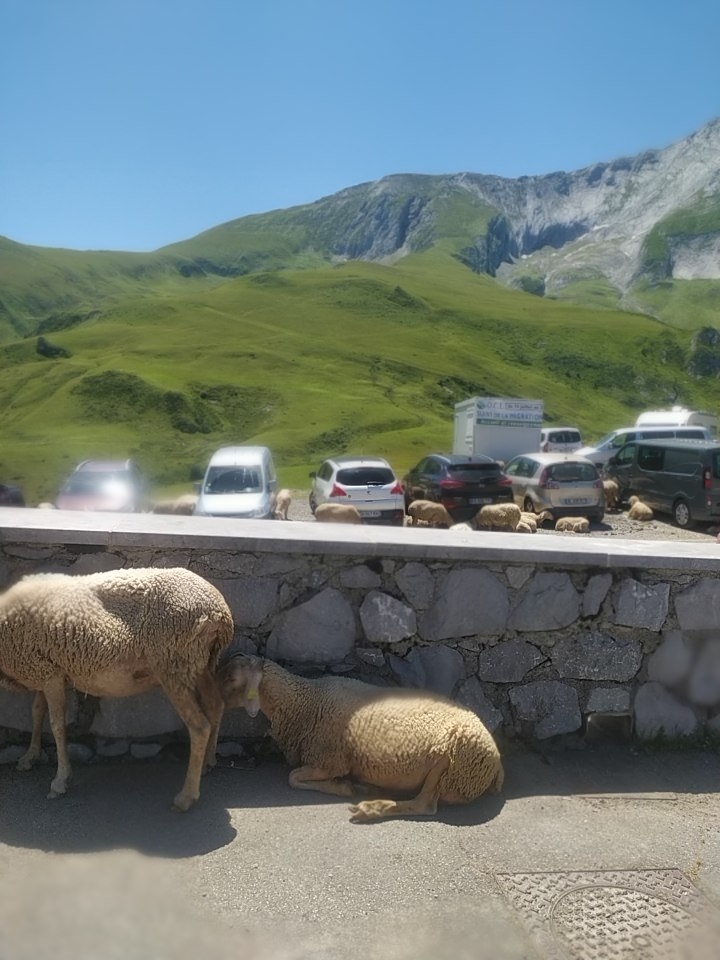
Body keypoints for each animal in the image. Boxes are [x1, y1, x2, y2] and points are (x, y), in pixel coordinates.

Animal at [0, 567, 233, 811]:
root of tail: (220, 611)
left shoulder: (50, 675)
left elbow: (56, 725)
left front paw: (61, 779)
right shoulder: (44, 669)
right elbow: (37, 712)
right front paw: (30, 756)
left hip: (173, 665)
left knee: (199, 727)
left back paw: (185, 797)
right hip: (199, 664)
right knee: (215, 705)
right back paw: (208, 763)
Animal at [217, 654, 503, 822]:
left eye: (231, 677)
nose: (211, 700)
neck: (306, 702)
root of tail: (497, 764)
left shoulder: (331, 761)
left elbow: (294, 778)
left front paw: (345, 787)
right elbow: (294, 777)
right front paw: (349, 785)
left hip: (451, 760)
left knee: (425, 805)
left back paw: (371, 808)